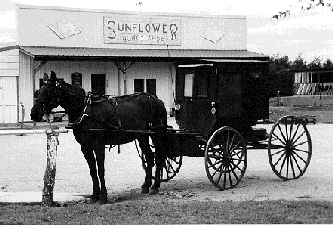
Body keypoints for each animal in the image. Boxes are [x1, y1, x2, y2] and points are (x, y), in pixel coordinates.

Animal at [30, 71, 168, 204]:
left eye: (48, 91)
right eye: (39, 90)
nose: (33, 113)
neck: (85, 111)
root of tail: (155, 99)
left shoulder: (98, 145)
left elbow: (101, 169)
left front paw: (103, 196)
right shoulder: (85, 147)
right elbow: (93, 171)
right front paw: (94, 195)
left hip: (155, 135)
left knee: (159, 157)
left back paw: (155, 186)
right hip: (142, 137)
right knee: (149, 156)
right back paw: (146, 185)